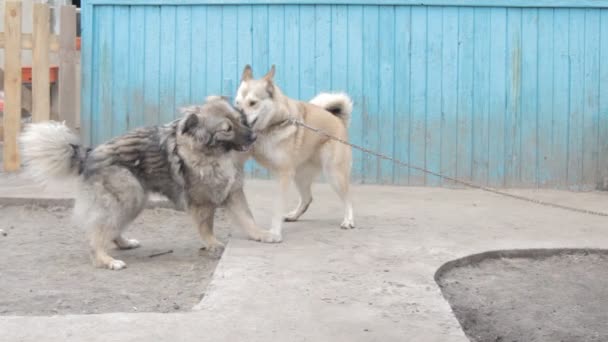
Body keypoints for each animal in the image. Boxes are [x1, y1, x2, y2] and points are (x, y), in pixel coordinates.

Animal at [20, 95, 282, 270]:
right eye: (226, 129)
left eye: (240, 120)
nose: (253, 137)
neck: (212, 154)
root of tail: (89, 153)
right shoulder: (202, 203)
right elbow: (206, 228)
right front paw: (213, 244)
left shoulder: (233, 192)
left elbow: (248, 219)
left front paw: (262, 235)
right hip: (129, 194)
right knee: (97, 234)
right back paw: (106, 260)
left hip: (134, 199)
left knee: (111, 229)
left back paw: (124, 243)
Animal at [235, 65, 354, 239]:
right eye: (237, 103)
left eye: (253, 103)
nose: (235, 121)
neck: (272, 126)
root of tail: (338, 120)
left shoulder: (284, 175)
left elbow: (277, 207)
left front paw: (275, 232)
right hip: (300, 176)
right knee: (307, 198)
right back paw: (294, 215)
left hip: (334, 174)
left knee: (347, 198)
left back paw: (348, 220)